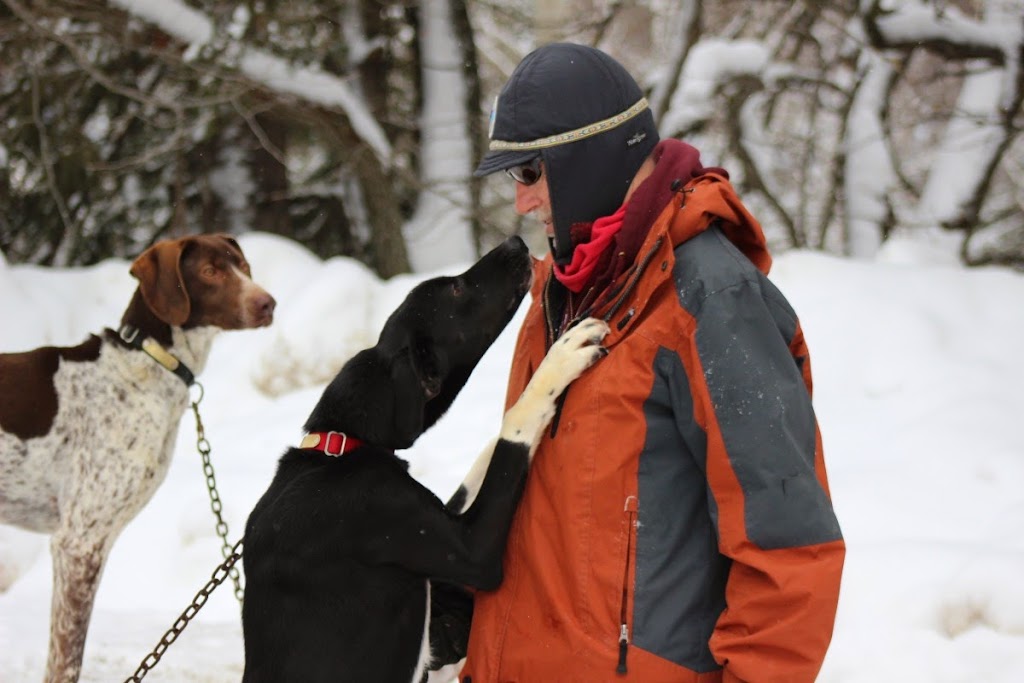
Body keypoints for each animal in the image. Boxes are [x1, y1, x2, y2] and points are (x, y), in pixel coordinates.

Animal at [0, 235, 274, 683]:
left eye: (244, 266)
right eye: (210, 271)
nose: (268, 303)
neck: (145, 361)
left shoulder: (91, 546)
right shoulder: (79, 543)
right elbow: (66, 661)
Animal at [239, 236, 606, 683]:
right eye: (455, 290)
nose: (515, 242)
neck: (342, 445)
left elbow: (486, 456)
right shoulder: (466, 548)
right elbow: (514, 427)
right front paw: (559, 360)